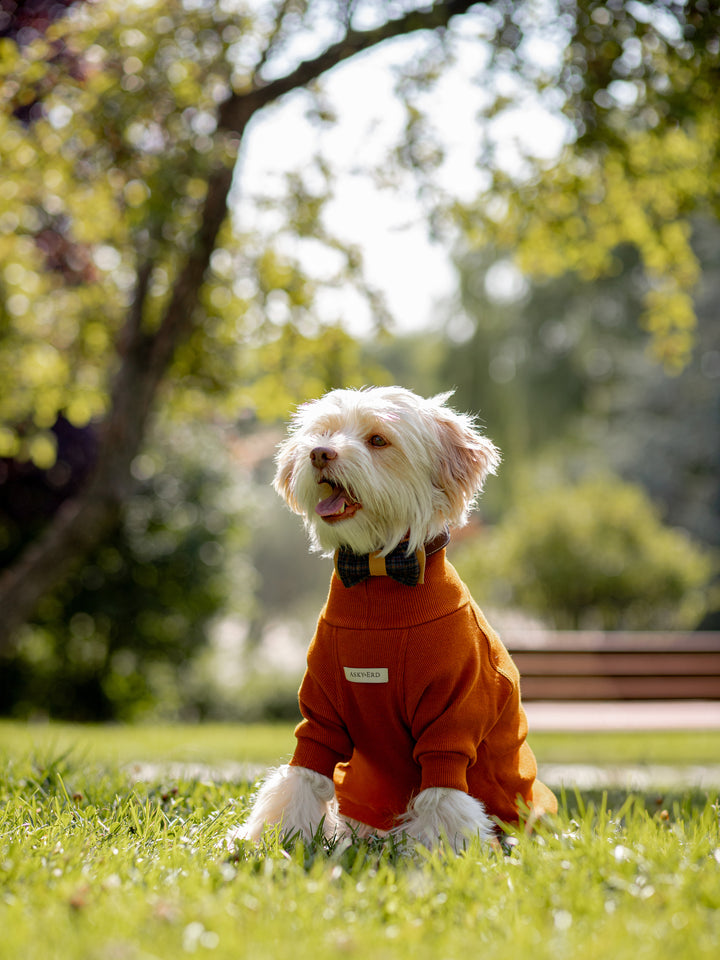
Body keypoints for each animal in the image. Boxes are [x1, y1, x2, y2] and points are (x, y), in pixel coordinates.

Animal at [233, 386, 556, 852]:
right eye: (324, 432)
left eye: (378, 440)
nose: (318, 453)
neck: (379, 575)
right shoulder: (319, 712)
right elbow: (301, 777)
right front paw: (274, 841)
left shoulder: (452, 719)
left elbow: (443, 799)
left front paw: (441, 856)